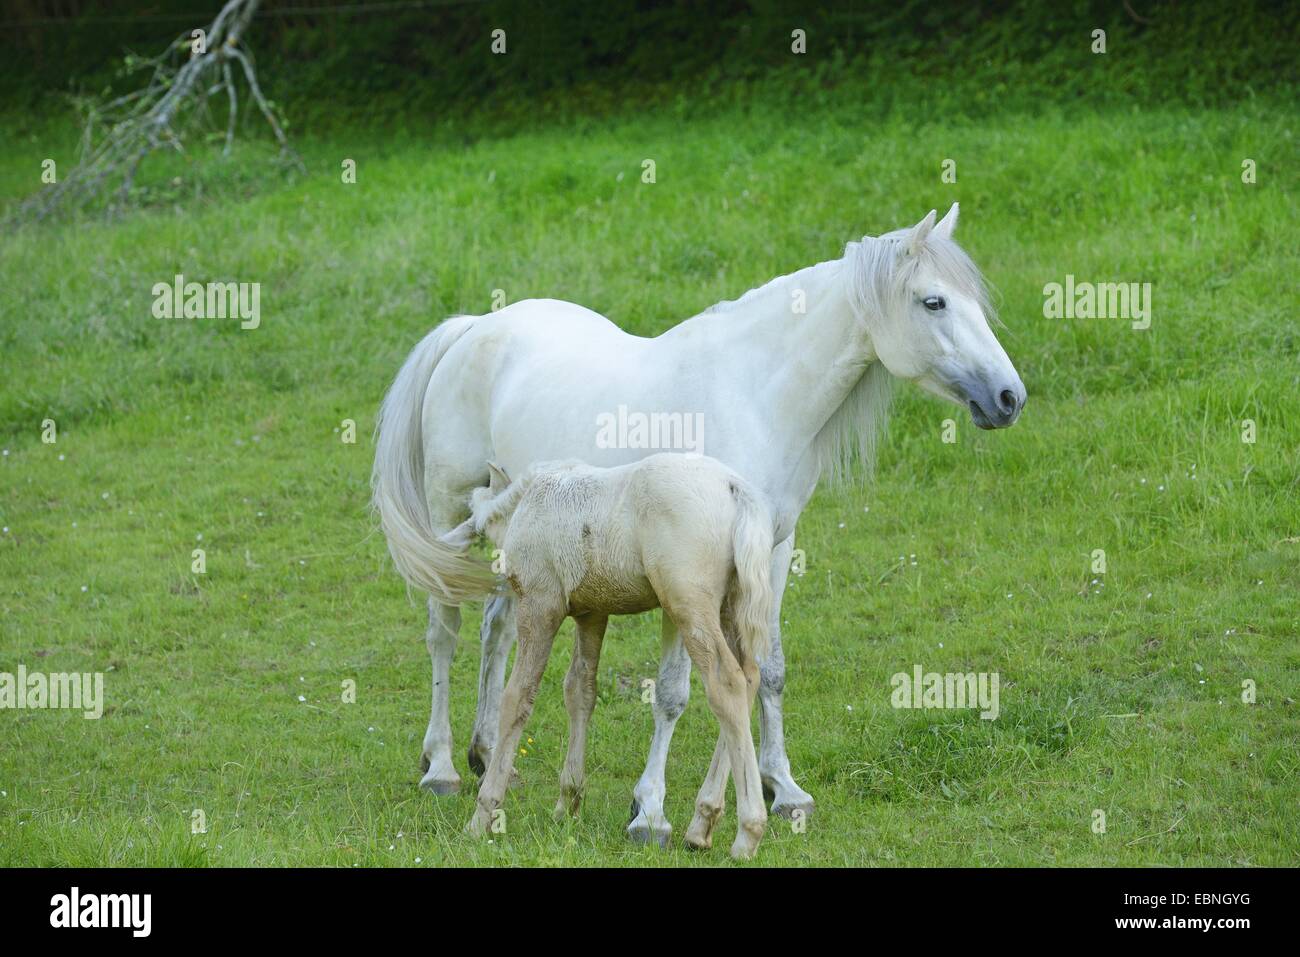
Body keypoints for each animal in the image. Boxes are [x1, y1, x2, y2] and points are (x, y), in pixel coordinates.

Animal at [436, 455, 774, 858]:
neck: (528, 504)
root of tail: (734, 487)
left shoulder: (540, 604)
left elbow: (517, 698)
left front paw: (483, 815)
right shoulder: (591, 613)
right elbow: (580, 691)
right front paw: (567, 803)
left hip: (690, 605)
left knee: (727, 684)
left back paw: (747, 833)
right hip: (729, 607)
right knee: (748, 678)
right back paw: (701, 824)